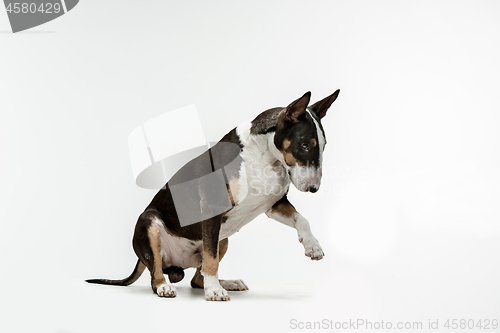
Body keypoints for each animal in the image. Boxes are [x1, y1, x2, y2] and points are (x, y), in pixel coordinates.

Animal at [88, 89, 342, 300]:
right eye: (305, 145)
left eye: (323, 146)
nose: (314, 189)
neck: (264, 155)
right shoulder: (212, 208)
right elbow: (210, 261)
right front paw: (214, 293)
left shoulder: (274, 205)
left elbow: (302, 218)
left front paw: (312, 246)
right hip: (150, 224)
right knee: (156, 274)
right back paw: (167, 287)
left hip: (223, 238)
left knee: (195, 277)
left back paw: (227, 282)